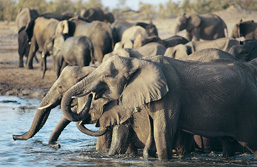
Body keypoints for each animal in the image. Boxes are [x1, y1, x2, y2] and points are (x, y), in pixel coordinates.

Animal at [60, 53, 257, 160]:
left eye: (108, 76)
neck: (140, 61)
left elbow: (161, 131)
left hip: (248, 108)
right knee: (228, 144)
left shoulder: (171, 94)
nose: (91, 95)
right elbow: (155, 130)